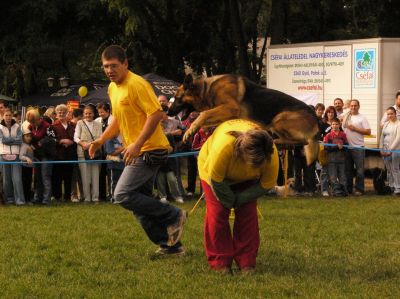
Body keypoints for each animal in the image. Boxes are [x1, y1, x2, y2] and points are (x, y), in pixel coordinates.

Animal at [167, 74, 320, 165]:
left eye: (178, 98)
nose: (168, 111)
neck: (206, 90)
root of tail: (315, 118)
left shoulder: (230, 108)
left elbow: (203, 114)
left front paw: (190, 131)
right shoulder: (225, 113)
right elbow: (207, 119)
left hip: (278, 119)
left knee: (302, 141)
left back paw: (276, 141)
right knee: (295, 143)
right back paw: (276, 141)